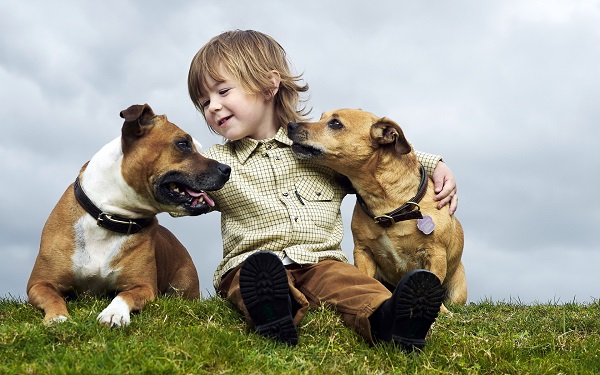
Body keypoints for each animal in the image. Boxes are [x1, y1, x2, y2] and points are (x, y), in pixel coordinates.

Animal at [27, 103, 231, 326]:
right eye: (183, 144)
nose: (227, 168)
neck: (110, 217)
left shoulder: (142, 286)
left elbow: (124, 295)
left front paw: (114, 313)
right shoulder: (39, 283)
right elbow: (52, 296)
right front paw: (58, 317)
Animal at [288, 110, 466, 312]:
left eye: (335, 123)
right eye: (321, 117)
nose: (290, 125)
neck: (387, 205)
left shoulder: (435, 253)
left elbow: (434, 281)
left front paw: (440, 311)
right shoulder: (363, 251)